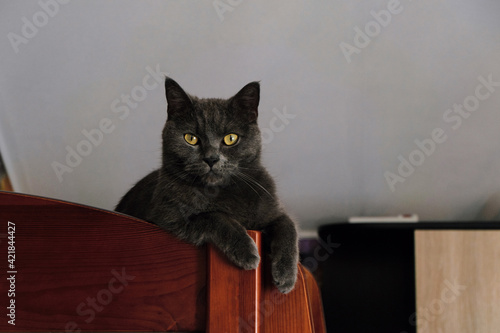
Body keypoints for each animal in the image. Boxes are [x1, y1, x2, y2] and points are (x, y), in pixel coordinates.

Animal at [115, 78, 298, 294]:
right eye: (191, 138)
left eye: (231, 138)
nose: (211, 158)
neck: (221, 192)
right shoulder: (166, 217)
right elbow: (212, 216)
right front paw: (247, 251)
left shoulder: (271, 208)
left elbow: (288, 227)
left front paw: (286, 277)